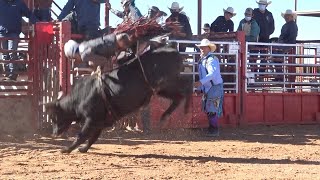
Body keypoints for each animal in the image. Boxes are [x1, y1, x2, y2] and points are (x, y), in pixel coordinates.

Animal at [45, 44, 192, 153]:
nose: (54, 133)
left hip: (168, 82)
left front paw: (67, 149)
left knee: (187, 85)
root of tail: (172, 49)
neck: (79, 98)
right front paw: (83, 149)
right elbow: (93, 138)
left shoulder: (92, 119)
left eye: (54, 116)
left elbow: (82, 135)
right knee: (178, 97)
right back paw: (166, 115)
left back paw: (186, 108)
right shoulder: (100, 122)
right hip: (162, 89)